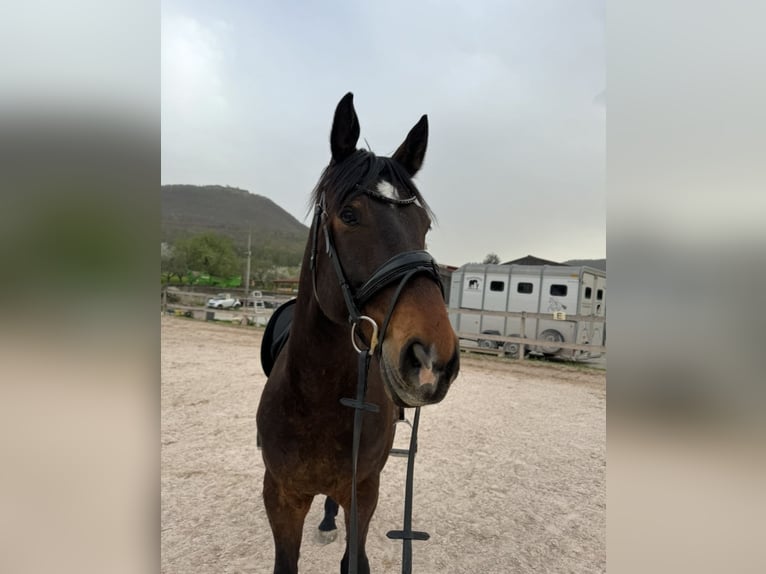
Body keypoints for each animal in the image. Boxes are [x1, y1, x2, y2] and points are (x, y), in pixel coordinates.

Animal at [256, 92, 460, 574]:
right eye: (349, 215)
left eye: (423, 224)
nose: (432, 359)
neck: (317, 397)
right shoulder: (281, 497)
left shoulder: (364, 492)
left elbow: (355, 558)